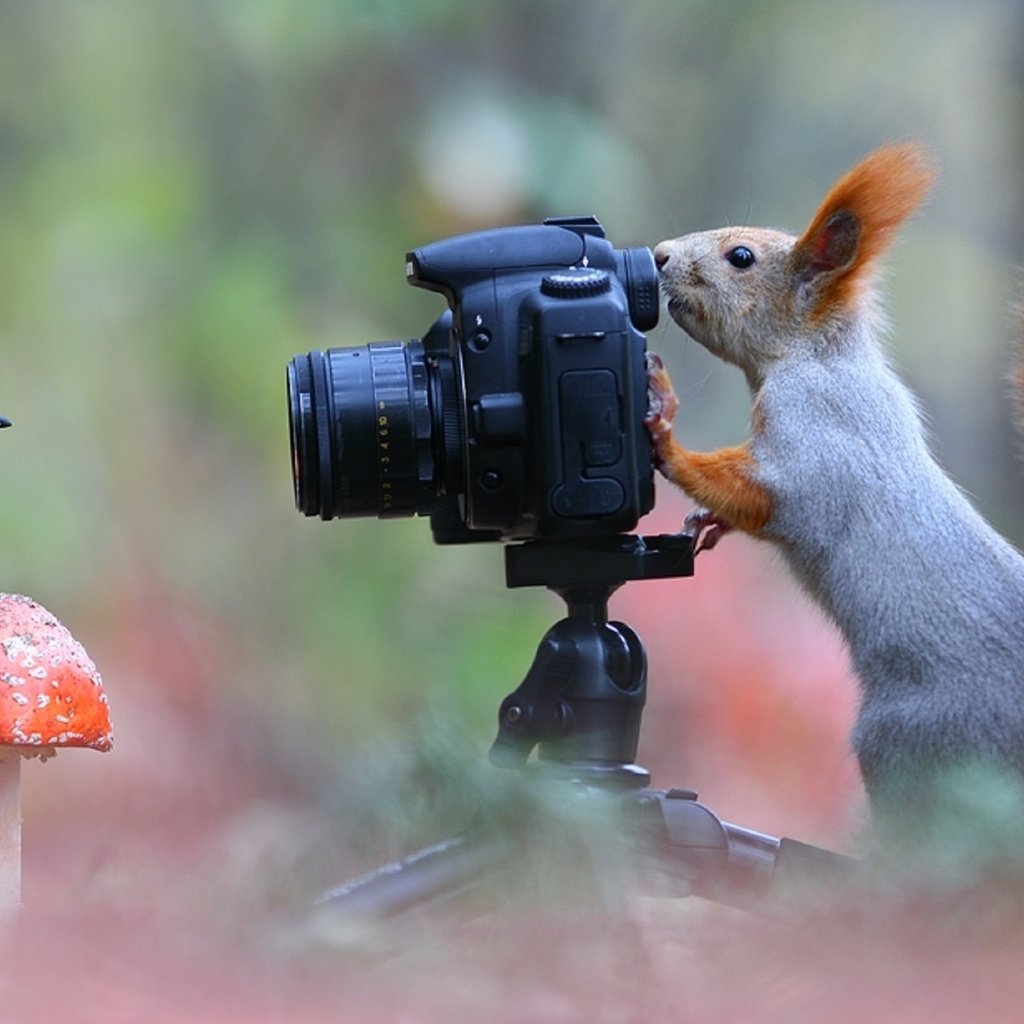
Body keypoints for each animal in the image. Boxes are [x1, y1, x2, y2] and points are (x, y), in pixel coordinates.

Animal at [647, 142, 1024, 831]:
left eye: (741, 258)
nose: (658, 254)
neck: (816, 356)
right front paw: (708, 524)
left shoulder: (815, 440)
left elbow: (766, 494)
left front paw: (665, 431)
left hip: (911, 739)